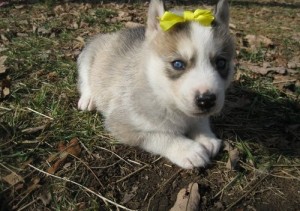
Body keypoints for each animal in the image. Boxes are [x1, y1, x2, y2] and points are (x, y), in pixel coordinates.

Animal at [77, 0, 234, 169]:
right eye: (178, 64)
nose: (207, 100)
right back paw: (88, 99)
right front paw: (188, 149)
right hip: (89, 54)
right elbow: (161, 136)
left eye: (221, 63)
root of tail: (114, 33)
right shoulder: (122, 123)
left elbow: (200, 119)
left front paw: (206, 137)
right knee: (86, 78)